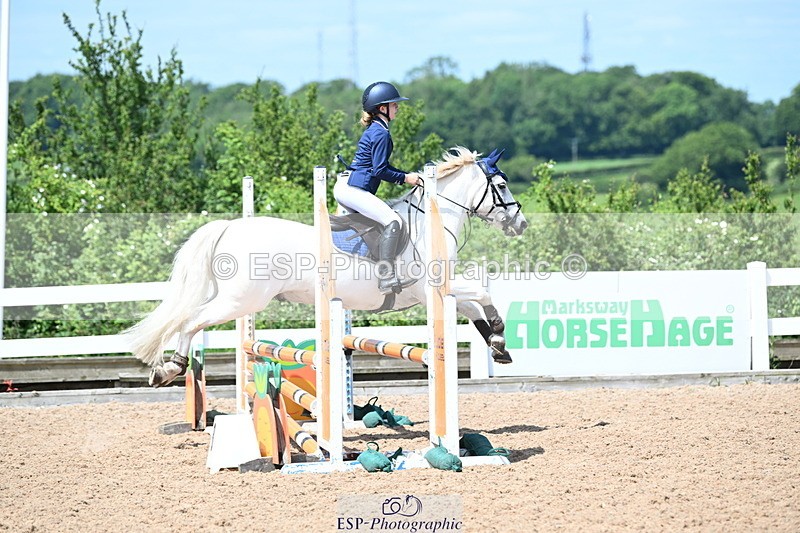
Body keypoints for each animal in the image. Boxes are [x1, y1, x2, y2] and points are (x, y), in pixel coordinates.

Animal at [125, 147, 528, 387]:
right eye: (502, 185)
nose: (520, 224)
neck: (430, 223)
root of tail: (229, 227)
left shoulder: (439, 292)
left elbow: (472, 307)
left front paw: (498, 346)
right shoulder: (432, 287)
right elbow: (482, 292)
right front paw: (499, 332)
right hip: (242, 301)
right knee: (190, 320)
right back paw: (171, 367)